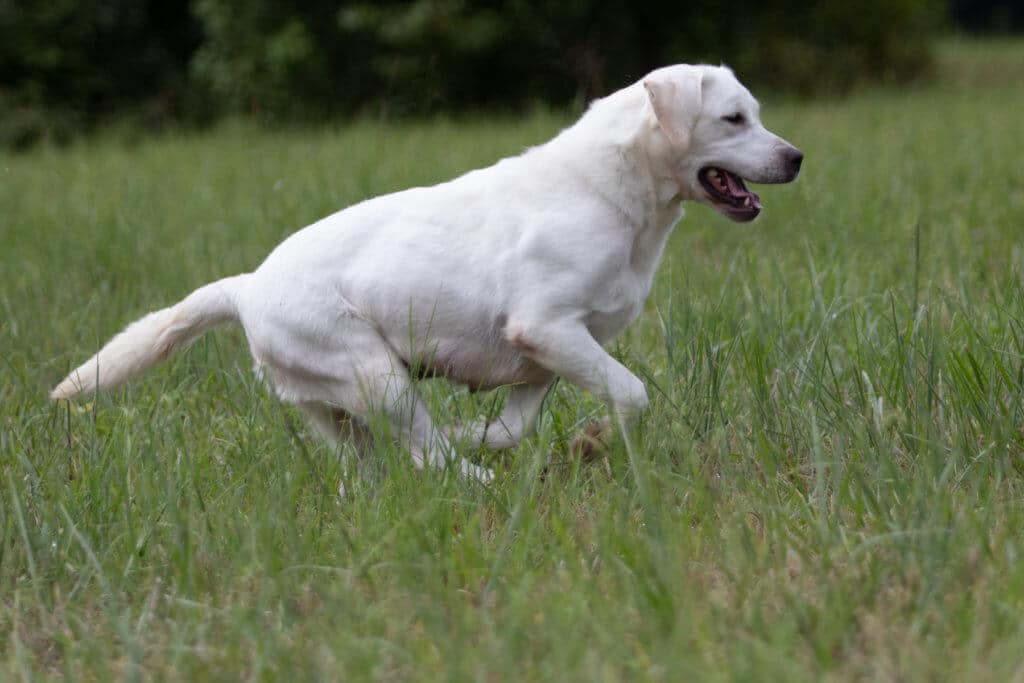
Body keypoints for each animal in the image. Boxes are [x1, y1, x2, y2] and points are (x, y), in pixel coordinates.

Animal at [49, 65, 798, 485]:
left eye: (758, 114)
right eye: (733, 118)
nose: (795, 158)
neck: (614, 189)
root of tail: (246, 285)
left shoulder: (545, 357)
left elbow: (512, 427)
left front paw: (498, 437)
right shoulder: (547, 327)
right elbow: (634, 393)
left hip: (341, 409)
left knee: (391, 461)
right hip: (379, 377)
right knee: (425, 454)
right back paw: (480, 485)